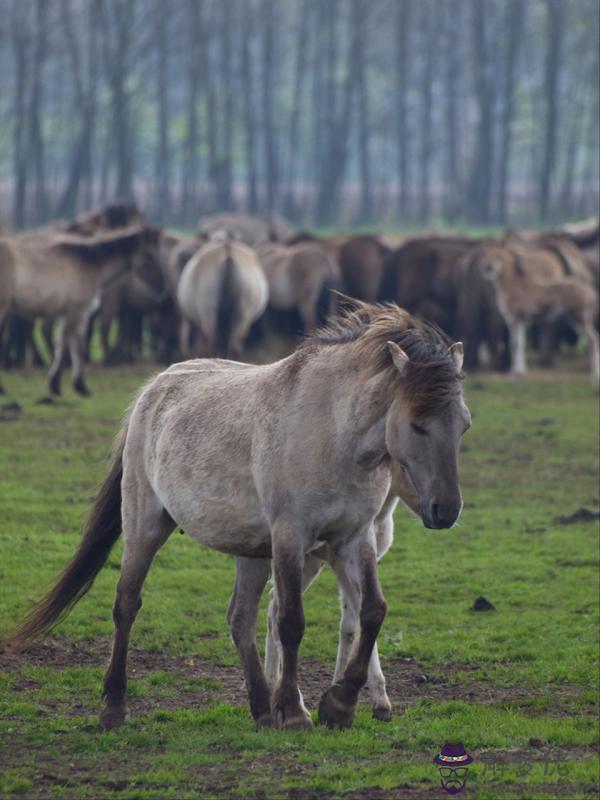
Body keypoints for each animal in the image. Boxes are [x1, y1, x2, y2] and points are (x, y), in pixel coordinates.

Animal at [4, 302, 472, 732]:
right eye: (417, 425)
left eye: (464, 424)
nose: (446, 510)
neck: (333, 432)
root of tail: (153, 388)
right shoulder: (291, 537)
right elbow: (291, 621)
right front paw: (296, 711)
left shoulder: (354, 538)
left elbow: (371, 612)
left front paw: (338, 705)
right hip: (144, 525)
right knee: (126, 605)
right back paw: (114, 708)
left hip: (252, 553)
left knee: (240, 618)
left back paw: (261, 709)